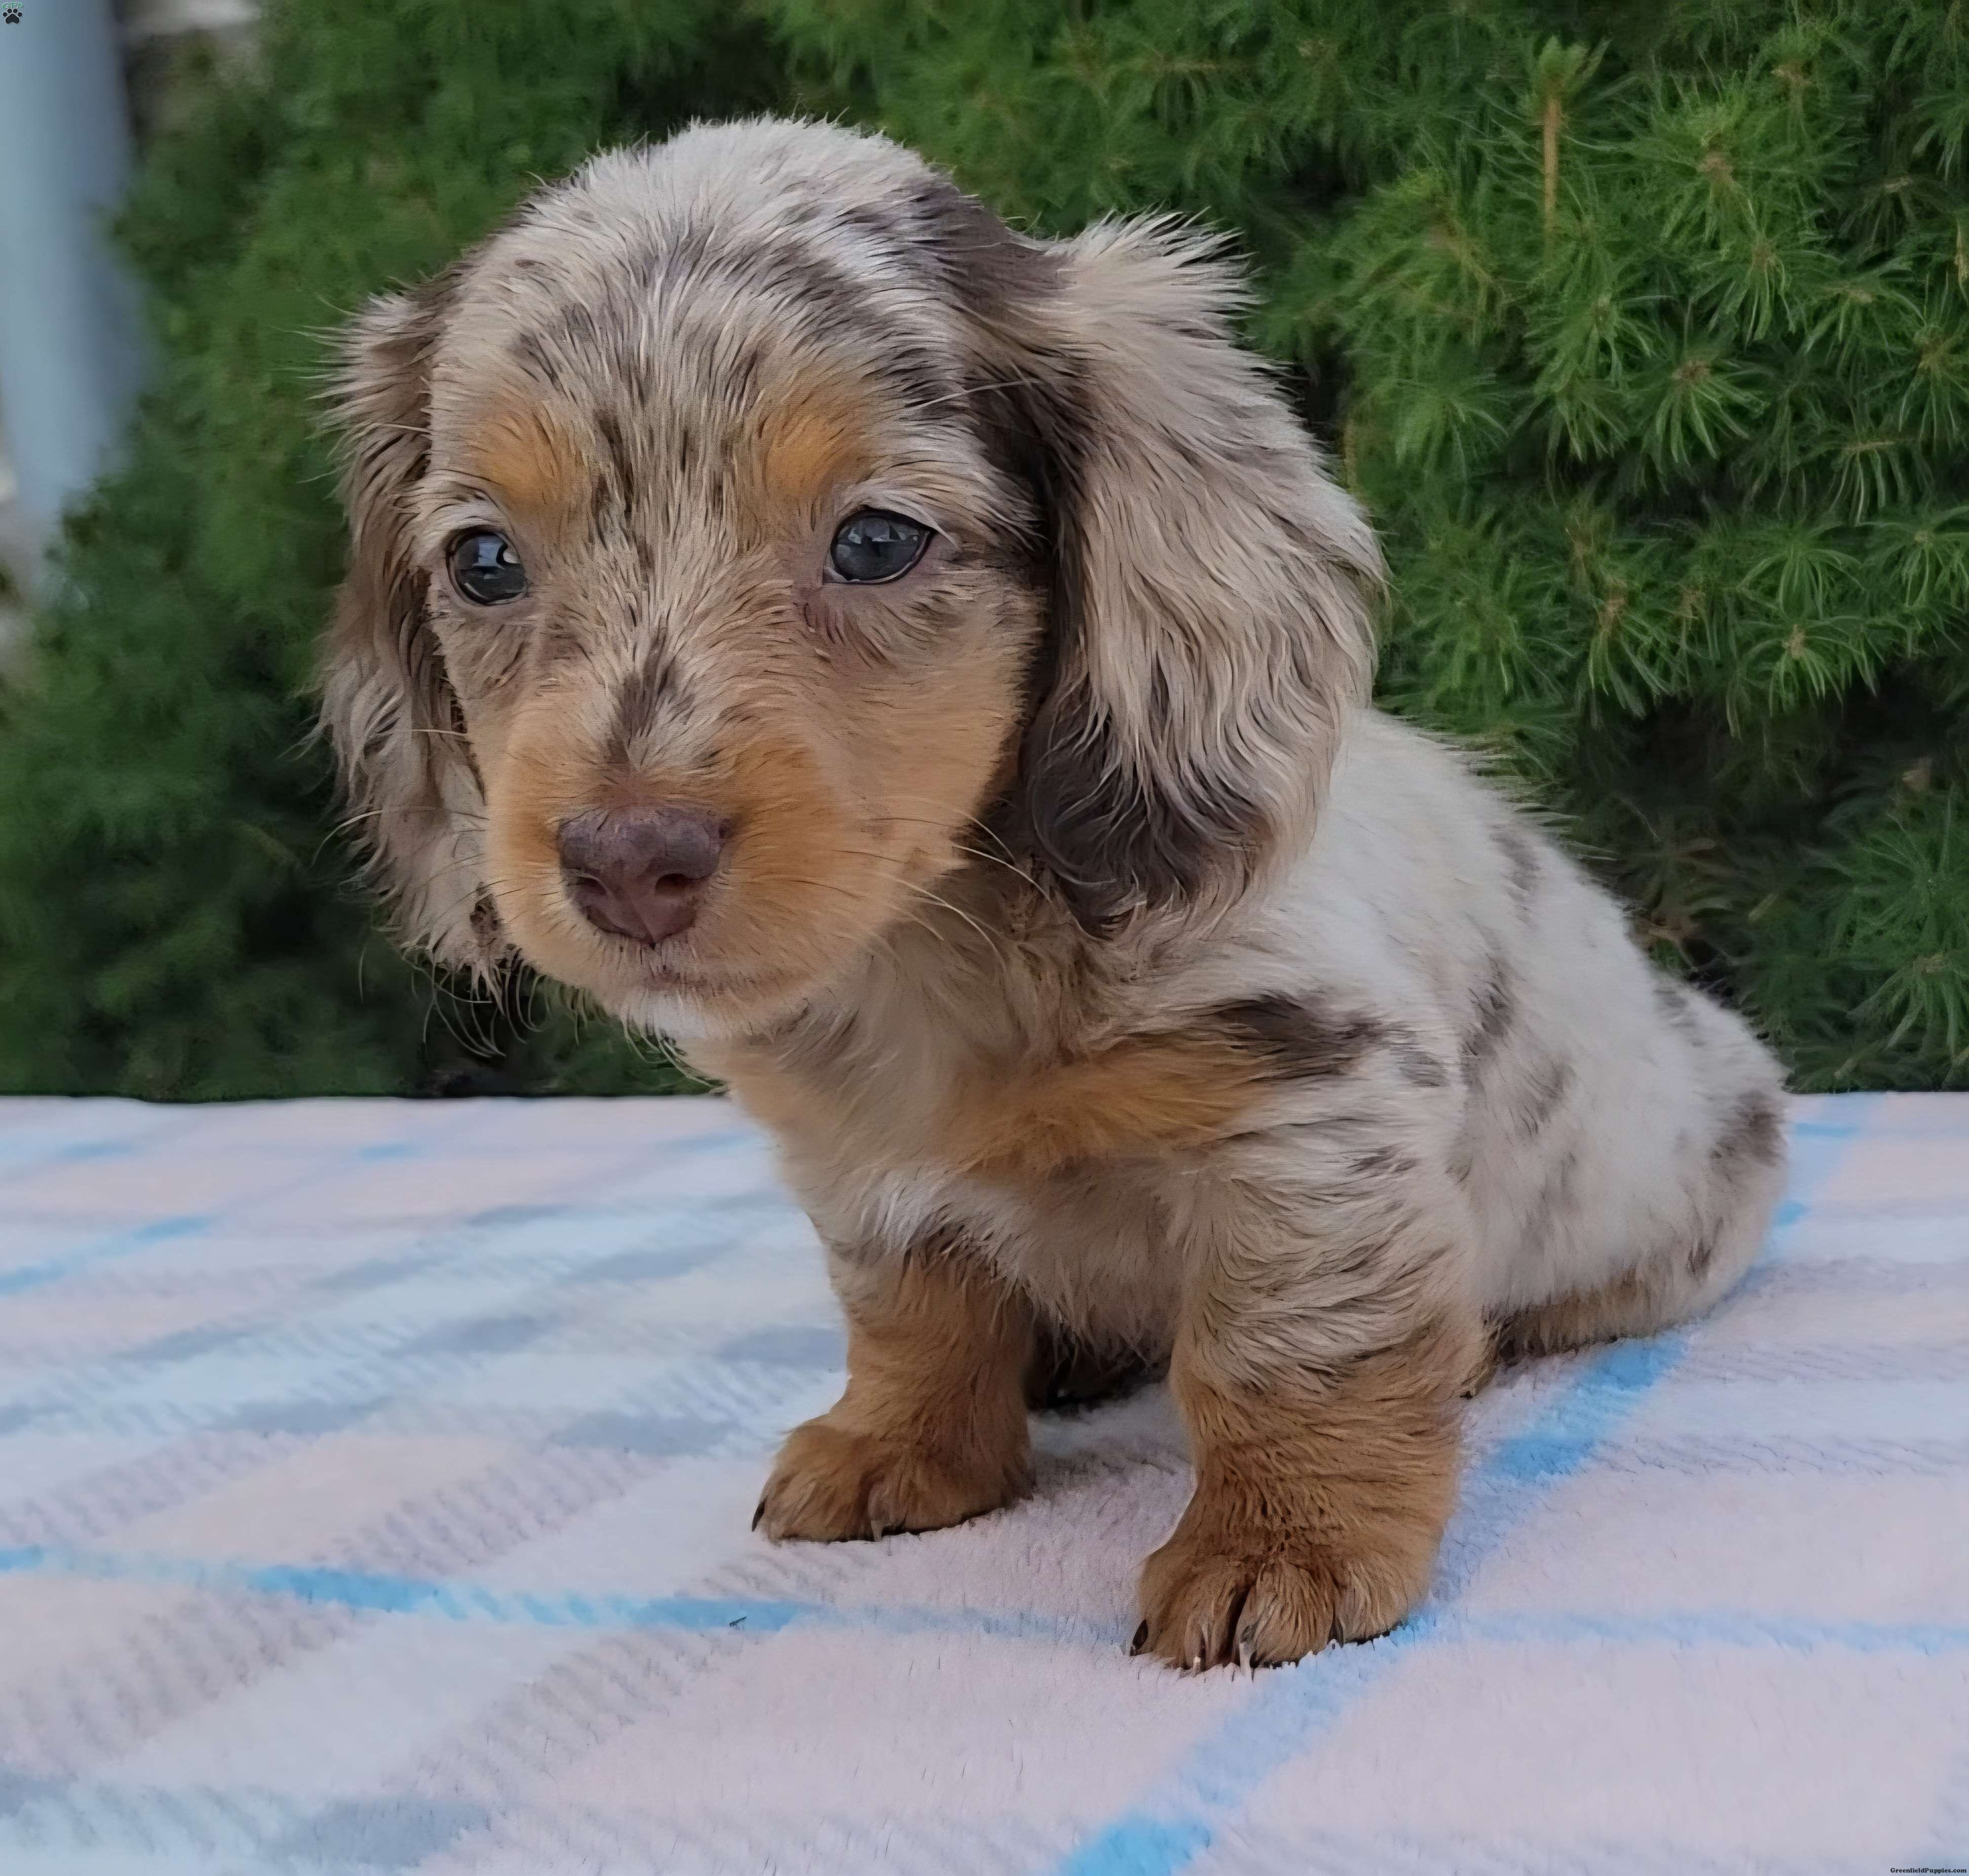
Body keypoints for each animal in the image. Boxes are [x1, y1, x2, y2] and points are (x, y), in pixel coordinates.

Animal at [320, 116, 1788, 1670]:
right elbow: (911, 1308)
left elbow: (1286, 1346)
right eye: (485, 561)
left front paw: (1283, 1541)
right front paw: (902, 1445)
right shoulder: (856, 1164)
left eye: (878, 540)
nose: (623, 863)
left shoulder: (1310, 1103)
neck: (937, 959)